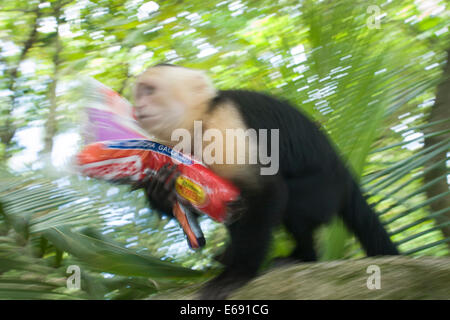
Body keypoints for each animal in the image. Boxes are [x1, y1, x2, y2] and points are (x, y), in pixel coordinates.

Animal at [133, 63, 398, 300]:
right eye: (139, 92)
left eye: (150, 90)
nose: (137, 107)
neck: (200, 119)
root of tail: (346, 177)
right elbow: (204, 199)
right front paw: (161, 189)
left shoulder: (224, 123)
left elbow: (266, 191)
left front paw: (237, 275)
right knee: (236, 206)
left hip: (325, 190)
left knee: (291, 205)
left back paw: (303, 256)